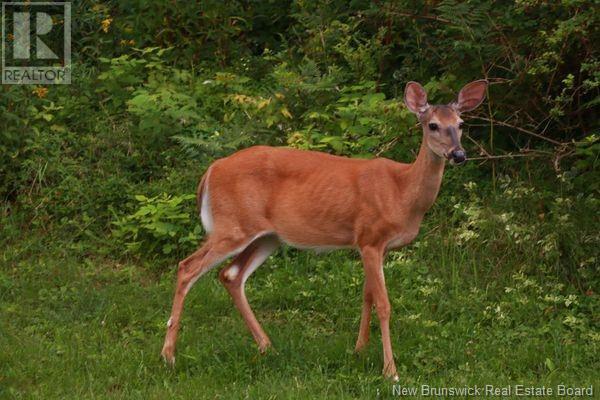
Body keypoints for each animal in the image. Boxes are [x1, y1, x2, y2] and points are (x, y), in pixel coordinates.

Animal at [159, 79, 488, 380]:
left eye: (460, 124)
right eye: (432, 125)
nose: (459, 154)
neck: (402, 192)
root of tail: (211, 170)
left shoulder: (370, 243)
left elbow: (367, 295)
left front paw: (359, 350)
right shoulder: (371, 237)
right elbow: (383, 304)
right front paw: (390, 371)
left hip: (266, 236)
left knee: (231, 275)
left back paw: (267, 346)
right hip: (232, 226)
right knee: (187, 267)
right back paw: (169, 356)